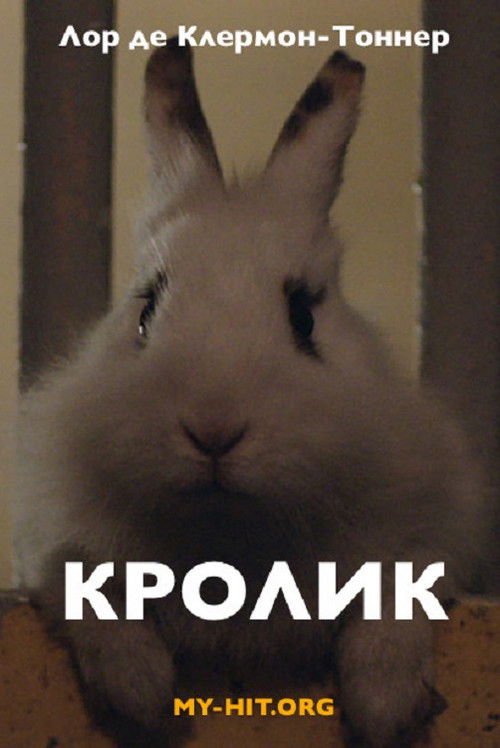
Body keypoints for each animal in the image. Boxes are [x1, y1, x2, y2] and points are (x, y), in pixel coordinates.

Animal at [17, 38, 494, 748]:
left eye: (303, 316)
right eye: (145, 311)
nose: (213, 430)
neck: (232, 537)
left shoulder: (435, 531)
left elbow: (398, 597)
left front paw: (386, 707)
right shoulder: (54, 541)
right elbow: (90, 593)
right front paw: (141, 696)